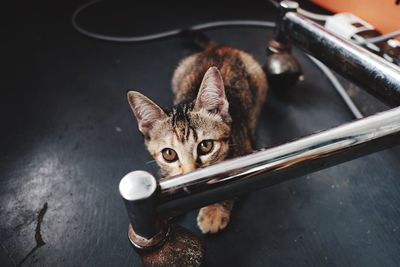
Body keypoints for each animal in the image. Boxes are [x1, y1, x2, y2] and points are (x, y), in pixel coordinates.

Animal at [126, 42, 268, 234]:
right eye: (169, 154)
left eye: (205, 146)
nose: (191, 179)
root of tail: (219, 46)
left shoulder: (245, 153)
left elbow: (231, 183)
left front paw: (213, 211)